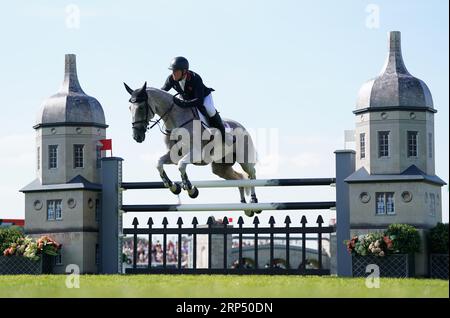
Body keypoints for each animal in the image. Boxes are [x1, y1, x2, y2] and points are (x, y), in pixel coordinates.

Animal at [125, 82, 262, 216]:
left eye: (141, 108)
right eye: (129, 108)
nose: (137, 136)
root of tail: (241, 126)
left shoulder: (196, 154)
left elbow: (181, 165)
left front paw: (191, 190)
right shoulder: (174, 156)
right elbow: (159, 163)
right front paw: (173, 187)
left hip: (244, 159)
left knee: (251, 174)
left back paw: (254, 202)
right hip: (220, 167)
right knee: (239, 178)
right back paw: (246, 208)